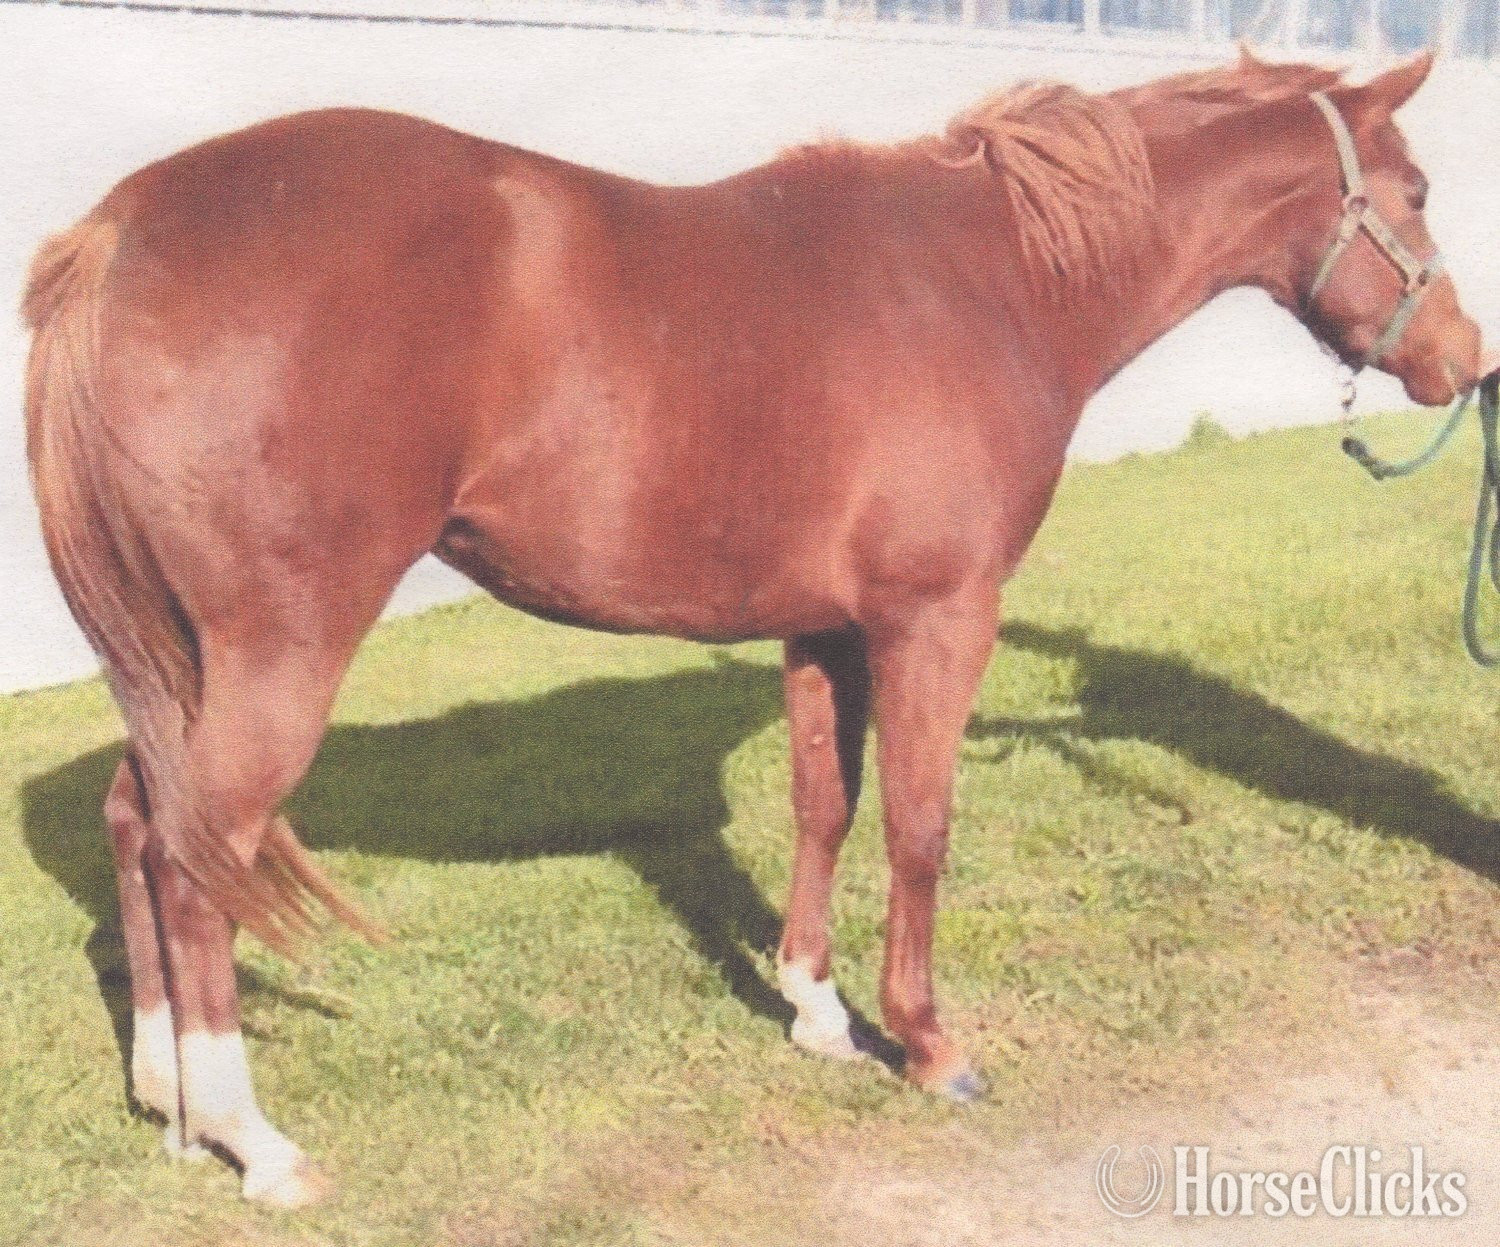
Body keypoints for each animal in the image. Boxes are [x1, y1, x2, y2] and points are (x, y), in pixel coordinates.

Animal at [23, 48, 1480, 1206]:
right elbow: (921, 823)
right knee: (202, 860)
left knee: (140, 826)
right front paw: (929, 1043)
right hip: (277, 650)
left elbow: (824, 806)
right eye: (1414, 191)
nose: (1468, 363)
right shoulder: (937, 619)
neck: (989, 276)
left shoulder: (825, 628)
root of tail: (119, 227)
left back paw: (166, 1098)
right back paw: (254, 1139)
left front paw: (820, 1011)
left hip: (177, 659)